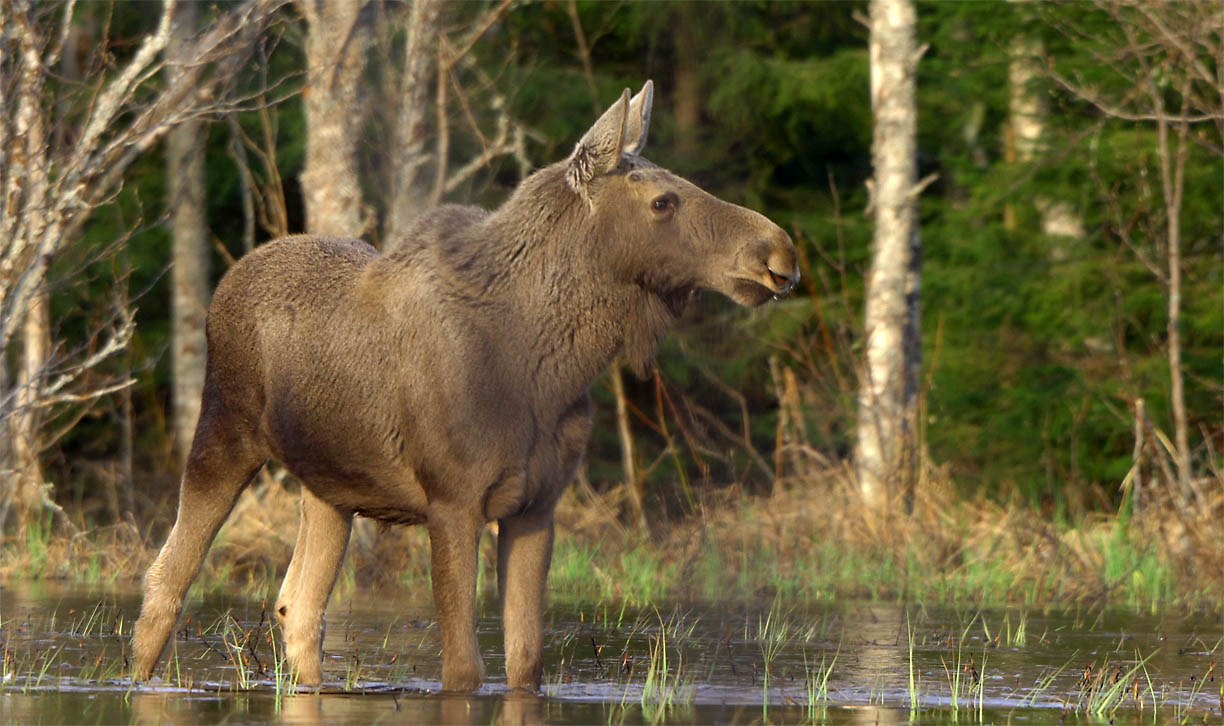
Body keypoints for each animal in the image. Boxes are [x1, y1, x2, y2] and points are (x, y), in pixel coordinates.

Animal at [134, 80, 798, 690]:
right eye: (663, 202)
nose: (779, 252)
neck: (549, 368)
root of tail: (229, 281)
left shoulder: (537, 507)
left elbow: (525, 663)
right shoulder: (453, 501)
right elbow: (464, 669)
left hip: (330, 488)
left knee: (297, 605)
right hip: (223, 433)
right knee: (166, 578)